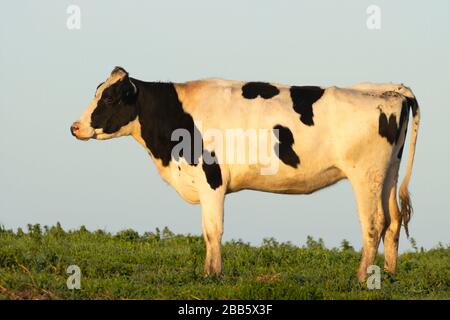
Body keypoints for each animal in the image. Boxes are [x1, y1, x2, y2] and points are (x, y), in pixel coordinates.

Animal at [70, 66, 418, 282]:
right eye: (98, 92)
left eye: (109, 97)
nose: (75, 127)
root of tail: (390, 91)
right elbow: (207, 231)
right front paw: (209, 273)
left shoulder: (211, 178)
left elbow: (213, 230)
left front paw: (212, 275)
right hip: (387, 173)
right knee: (393, 220)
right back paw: (389, 275)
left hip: (365, 174)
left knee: (374, 223)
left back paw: (361, 278)